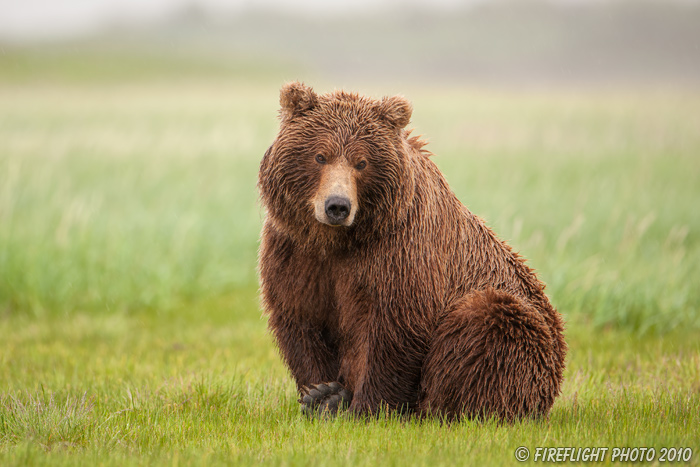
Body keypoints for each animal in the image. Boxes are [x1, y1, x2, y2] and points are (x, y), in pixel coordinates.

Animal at [260, 82, 568, 422]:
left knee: (487, 324)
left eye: (361, 162)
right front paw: (322, 393)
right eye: (320, 156)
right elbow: (301, 318)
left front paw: (364, 407)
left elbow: (394, 328)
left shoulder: (401, 251)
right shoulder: (296, 252)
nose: (337, 206)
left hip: (520, 332)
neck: (338, 241)